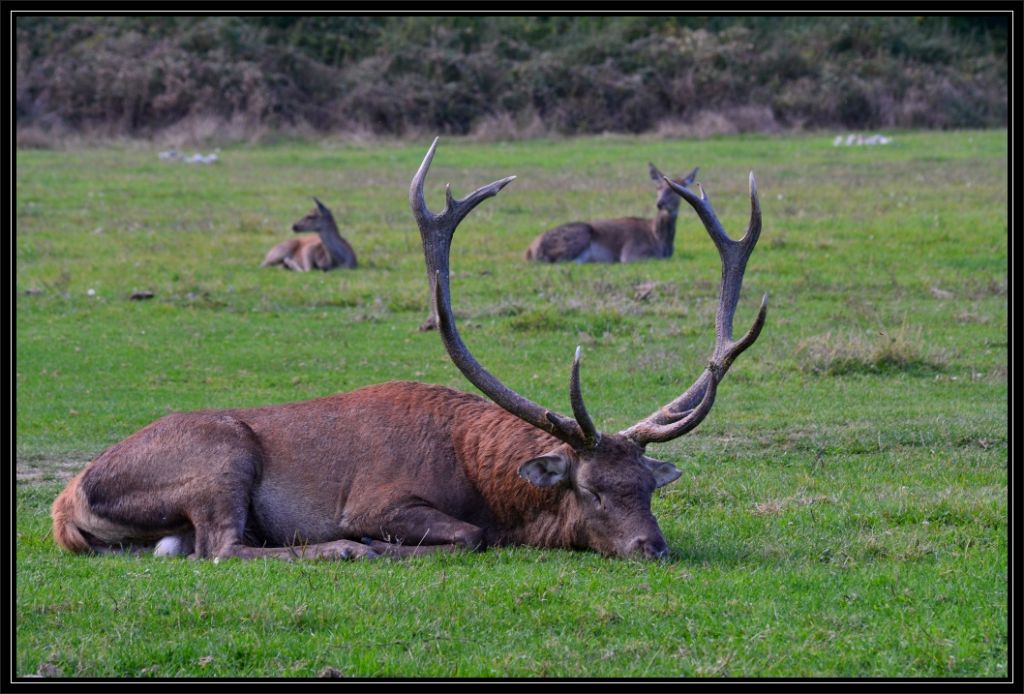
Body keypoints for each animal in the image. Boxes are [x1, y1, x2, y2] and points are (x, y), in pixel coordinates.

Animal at [51, 141, 765, 565]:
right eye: (590, 490)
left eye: (647, 486)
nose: (653, 546)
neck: (482, 482)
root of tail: (66, 502)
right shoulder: (377, 497)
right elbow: (467, 537)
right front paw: (373, 542)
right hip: (219, 460)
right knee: (222, 547)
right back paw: (345, 550)